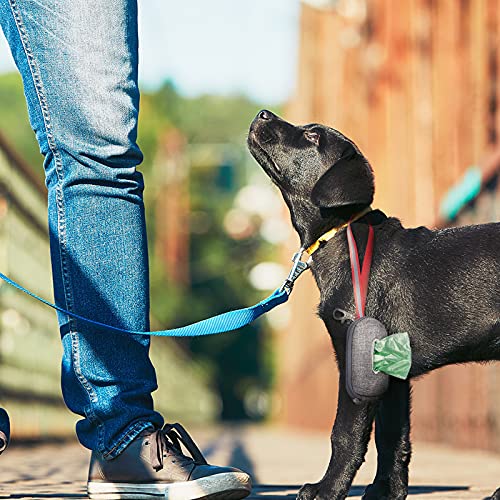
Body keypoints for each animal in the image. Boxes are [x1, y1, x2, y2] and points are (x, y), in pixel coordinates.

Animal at [247, 110, 500, 500]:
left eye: (313, 137)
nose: (262, 113)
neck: (340, 236)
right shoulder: (392, 372)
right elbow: (391, 436)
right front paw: (385, 491)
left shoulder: (359, 359)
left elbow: (345, 434)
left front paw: (327, 489)